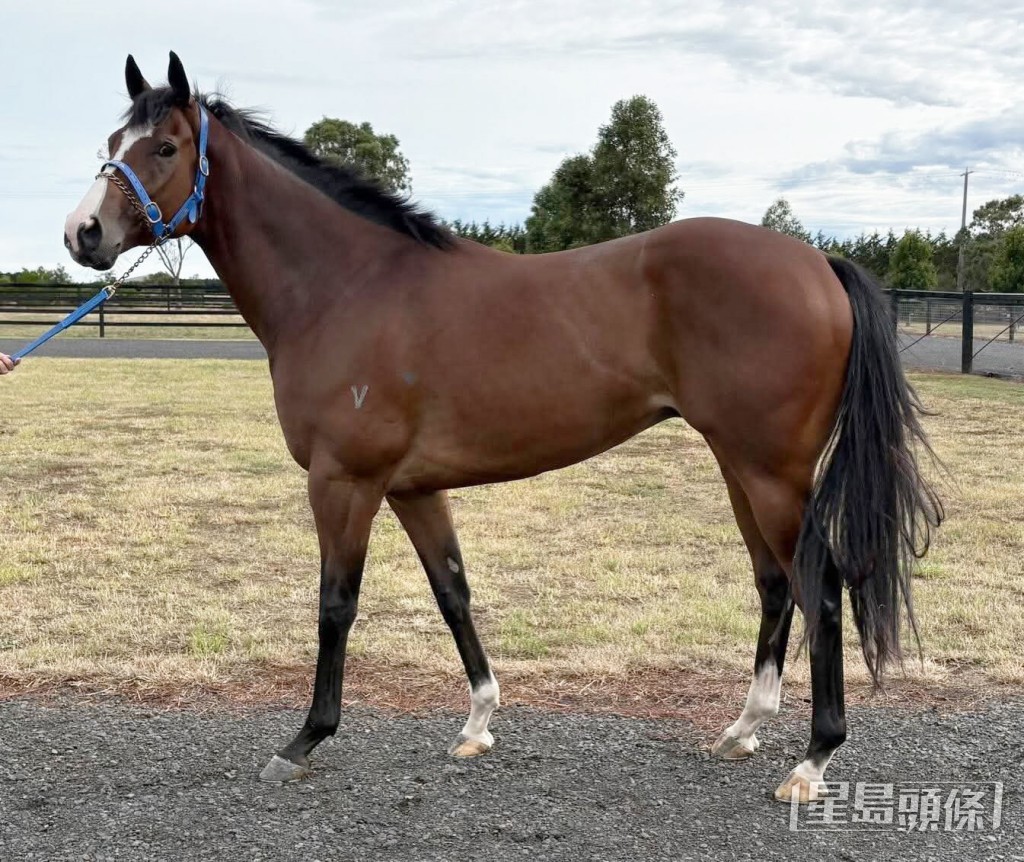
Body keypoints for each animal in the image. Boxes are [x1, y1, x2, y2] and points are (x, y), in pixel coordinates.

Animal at [63, 52, 941, 803]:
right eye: (111, 143)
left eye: (166, 145)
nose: (83, 234)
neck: (347, 285)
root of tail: (817, 262)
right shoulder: (413, 488)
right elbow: (453, 590)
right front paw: (479, 721)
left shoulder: (345, 482)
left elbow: (335, 603)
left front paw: (305, 739)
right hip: (741, 466)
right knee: (774, 583)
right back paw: (743, 729)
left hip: (772, 473)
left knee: (819, 585)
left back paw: (812, 760)